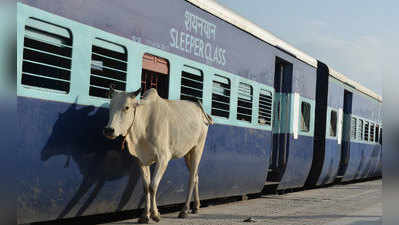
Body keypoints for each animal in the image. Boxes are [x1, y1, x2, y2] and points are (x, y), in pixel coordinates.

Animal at [104, 87, 214, 222]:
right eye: (110, 106)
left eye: (127, 107)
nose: (109, 130)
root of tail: (199, 108)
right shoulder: (142, 160)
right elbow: (146, 187)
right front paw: (145, 216)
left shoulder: (163, 158)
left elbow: (153, 186)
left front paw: (155, 214)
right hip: (187, 153)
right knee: (196, 176)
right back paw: (196, 207)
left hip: (198, 148)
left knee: (191, 178)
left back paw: (184, 210)